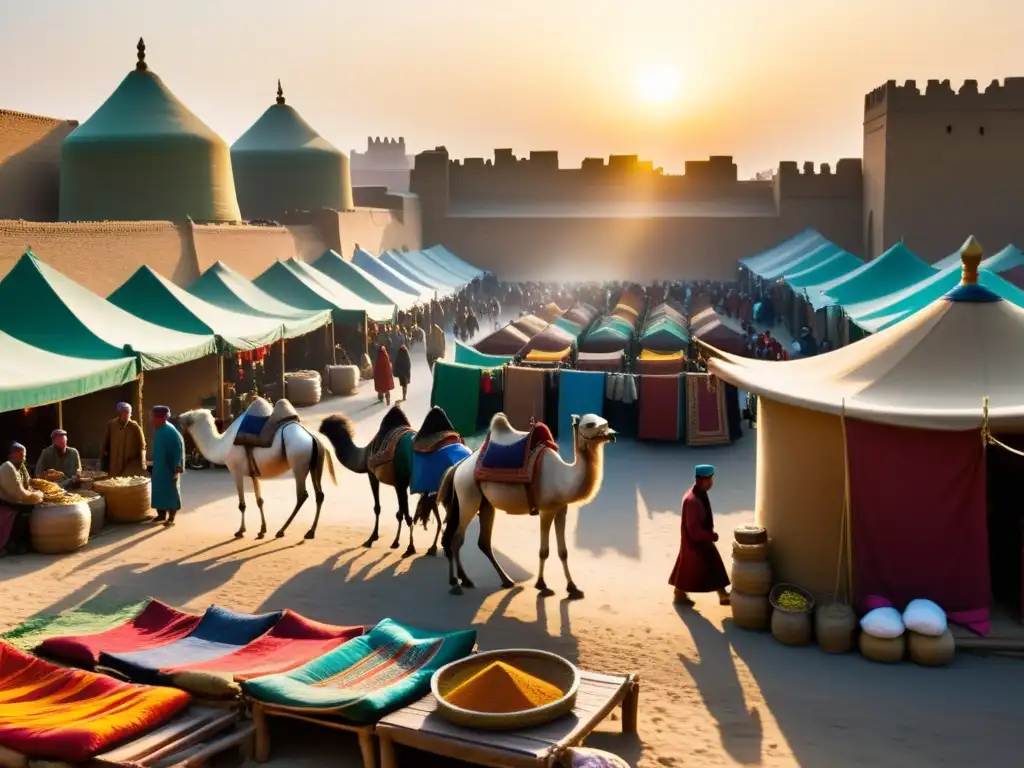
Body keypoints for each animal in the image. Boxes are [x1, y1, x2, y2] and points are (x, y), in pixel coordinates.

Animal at [176, 403, 335, 540]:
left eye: (182, 422)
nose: (176, 426)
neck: (222, 446)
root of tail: (313, 438)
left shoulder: (236, 471)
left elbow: (242, 504)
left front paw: (240, 531)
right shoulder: (254, 473)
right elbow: (260, 500)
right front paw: (262, 530)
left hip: (299, 462)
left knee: (302, 495)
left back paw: (282, 531)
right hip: (314, 465)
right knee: (319, 495)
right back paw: (310, 531)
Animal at [317, 403, 468, 561]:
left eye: (327, 423)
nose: (318, 428)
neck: (363, 456)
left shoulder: (375, 475)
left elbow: (386, 510)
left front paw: (402, 546)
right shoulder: (398, 483)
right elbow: (400, 513)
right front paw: (395, 542)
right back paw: (434, 548)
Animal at [434, 415, 614, 602]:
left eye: (605, 421)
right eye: (590, 424)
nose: (612, 434)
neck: (562, 478)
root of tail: (458, 467)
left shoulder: (561, 509)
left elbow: (563, 551)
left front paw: (573, 588)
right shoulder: (546, 510)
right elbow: (544, 551)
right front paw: (542, 585)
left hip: (484, 504)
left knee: (482, 542)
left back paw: (499, 580)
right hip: (468, 495)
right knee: (457, 538)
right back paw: (457, 583)